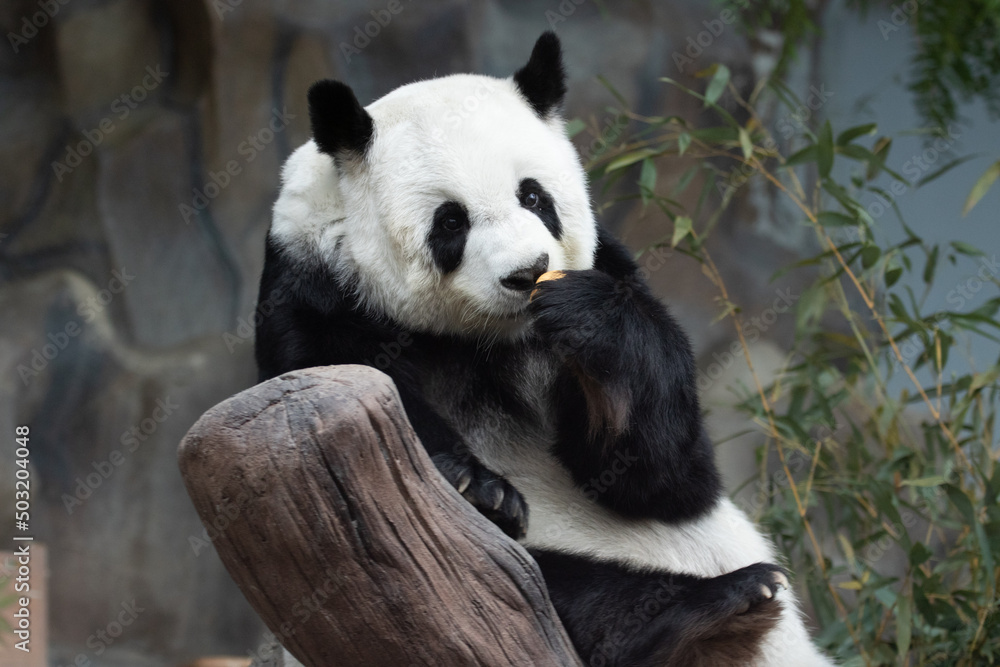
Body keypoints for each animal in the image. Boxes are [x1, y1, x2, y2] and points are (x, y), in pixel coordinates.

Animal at [254, 32, 832, 667]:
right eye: (450, 221)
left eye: (533, 196)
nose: (527, 272)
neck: (485, 338)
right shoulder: (312, 289)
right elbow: (326, 400)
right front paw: (477, 486)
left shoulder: (608, 271)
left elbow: (666, 477)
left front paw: (588, 319)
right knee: (547, 582)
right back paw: (700, 614)